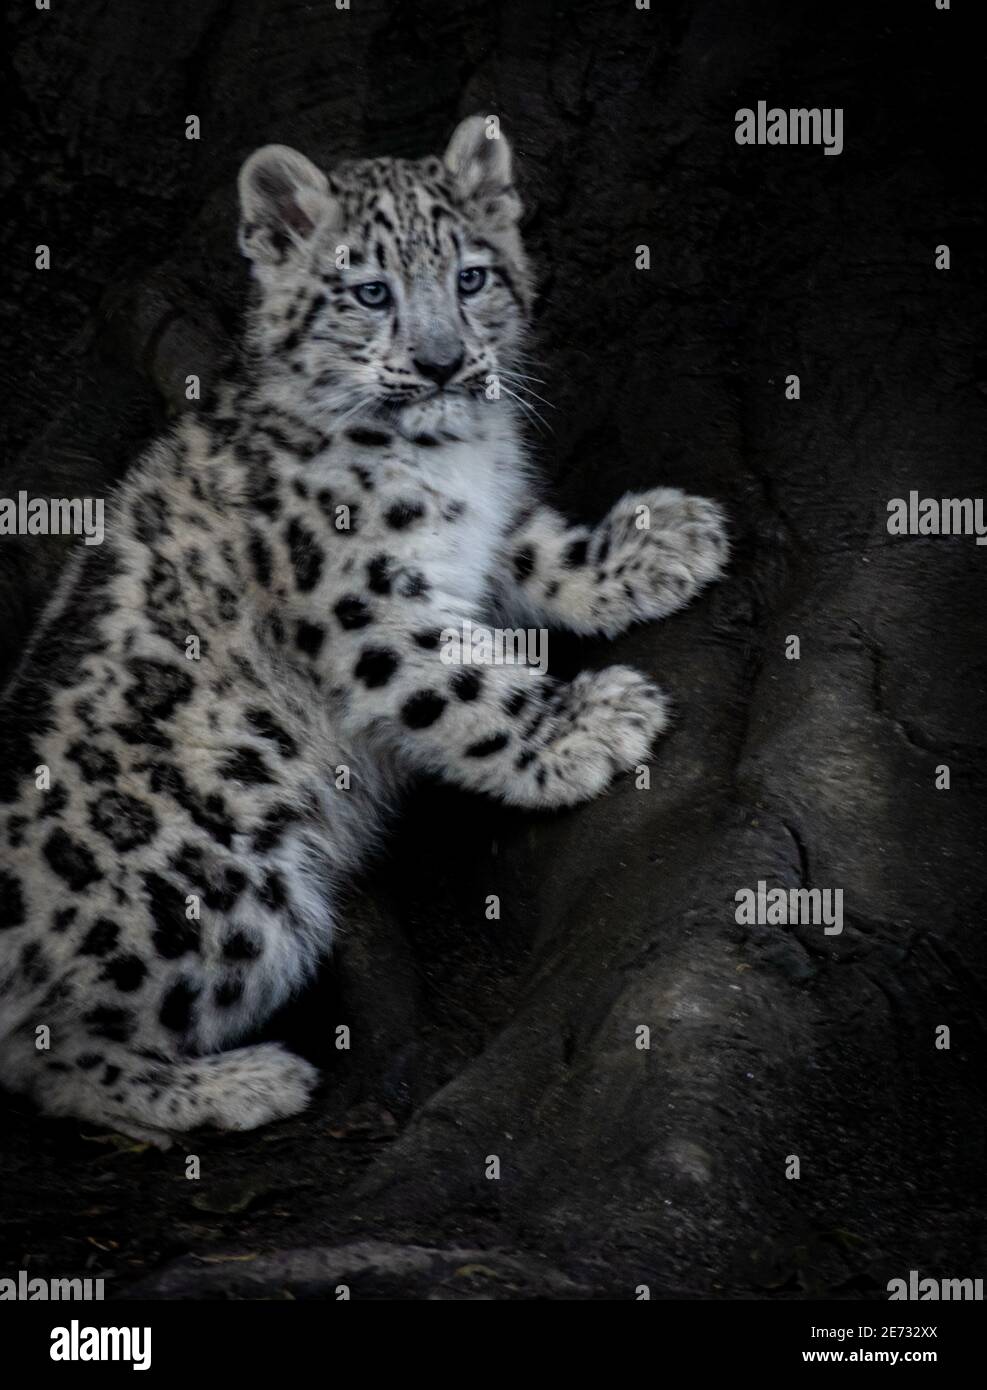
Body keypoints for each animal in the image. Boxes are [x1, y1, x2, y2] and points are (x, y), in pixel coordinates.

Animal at [0, 116, 728, 1146]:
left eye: (471, 276)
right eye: (369, 291)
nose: (440, 364)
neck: (453, 456)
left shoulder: (476, 540)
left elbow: (534, 551)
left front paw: (658, 541)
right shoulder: (360, 607)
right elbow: (464, 689)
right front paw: (587, 726)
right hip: (223, 880)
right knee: (46, 1045)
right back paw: (239, 1083)